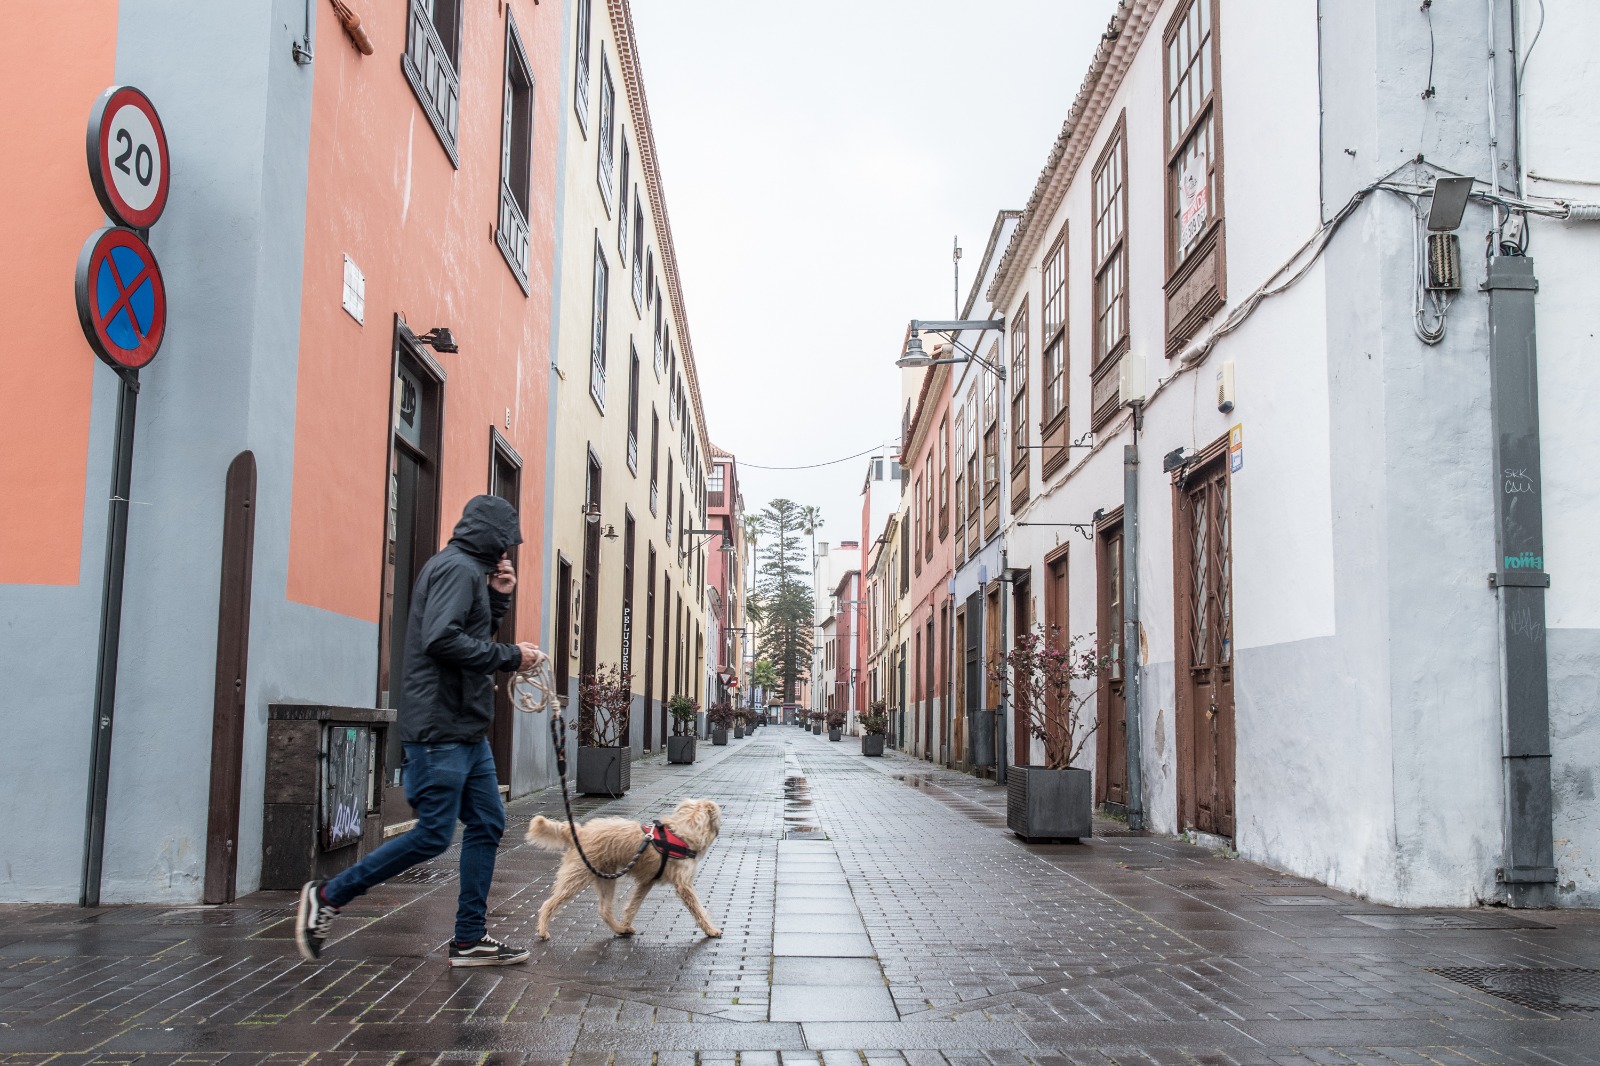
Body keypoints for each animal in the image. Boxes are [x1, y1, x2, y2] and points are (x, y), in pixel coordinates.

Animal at [524, 797, 726, 941]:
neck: (684, 830)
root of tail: (579, 832)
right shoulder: (684, 886)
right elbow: (699, 909)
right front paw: (711, 930)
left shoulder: (646, 882)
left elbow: (632, 906)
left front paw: (627, 922)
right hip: (577, 877)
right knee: (549, 903)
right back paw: (543, 930)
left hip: (605, 878)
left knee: (604, 910)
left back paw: (620, 929)